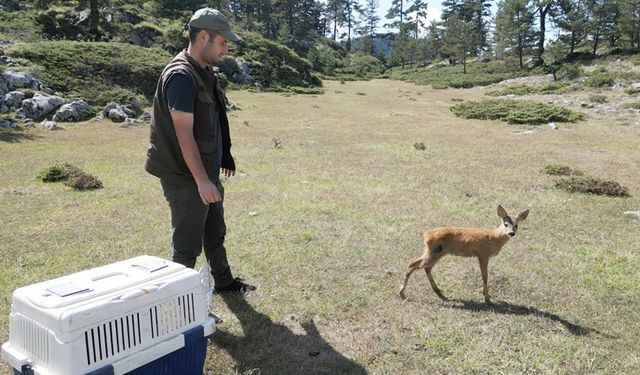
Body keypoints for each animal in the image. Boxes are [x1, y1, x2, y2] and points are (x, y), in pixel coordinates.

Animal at [400, 206, 528, 306]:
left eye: (516, 225)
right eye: (505, 224)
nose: (511, 233)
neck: (494, 237)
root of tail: (426, 234)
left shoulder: (482, 256)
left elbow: (484, 276)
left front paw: (485, 295)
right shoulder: (483, 255)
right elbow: (485, 277)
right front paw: (487, 299)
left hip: (436, 252)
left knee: (425, 267)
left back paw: (440, 294)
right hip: (434, 252)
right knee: (413, 264)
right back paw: (402, 293)